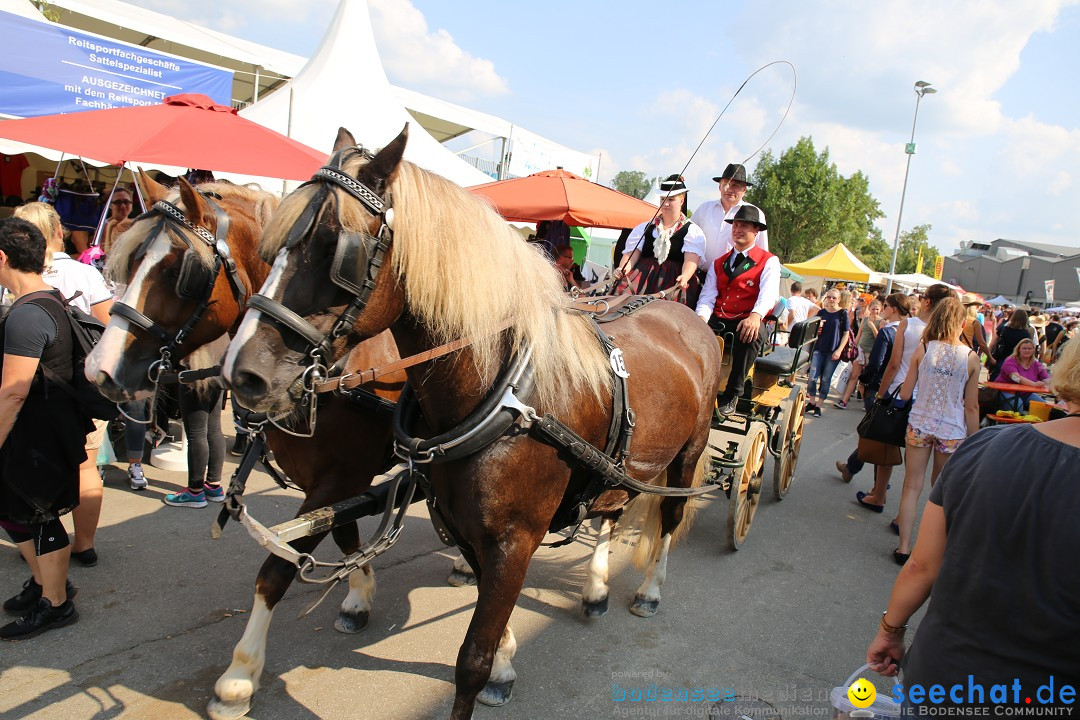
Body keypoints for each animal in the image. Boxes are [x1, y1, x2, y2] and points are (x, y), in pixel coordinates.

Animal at [83, 174, 406, 720]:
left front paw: (239, 675)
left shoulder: (342, 474)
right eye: (129, 261)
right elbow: (342, 534)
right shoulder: (336, 479)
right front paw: (359, 595)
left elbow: (278, 568)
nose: (99, 370)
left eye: (179, 271)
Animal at [222, 126, 721, 716]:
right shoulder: (462, 525)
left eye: (336, 248)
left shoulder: (510, 539)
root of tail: (683, 313)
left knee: (668, 518)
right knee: (611, 509)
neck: (506, 394)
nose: (243, 373)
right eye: (271, 247)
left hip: (686, 455)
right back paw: (597, 589)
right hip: (621, 464)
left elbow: (471, 662)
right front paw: (505, 659)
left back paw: (648, 589)